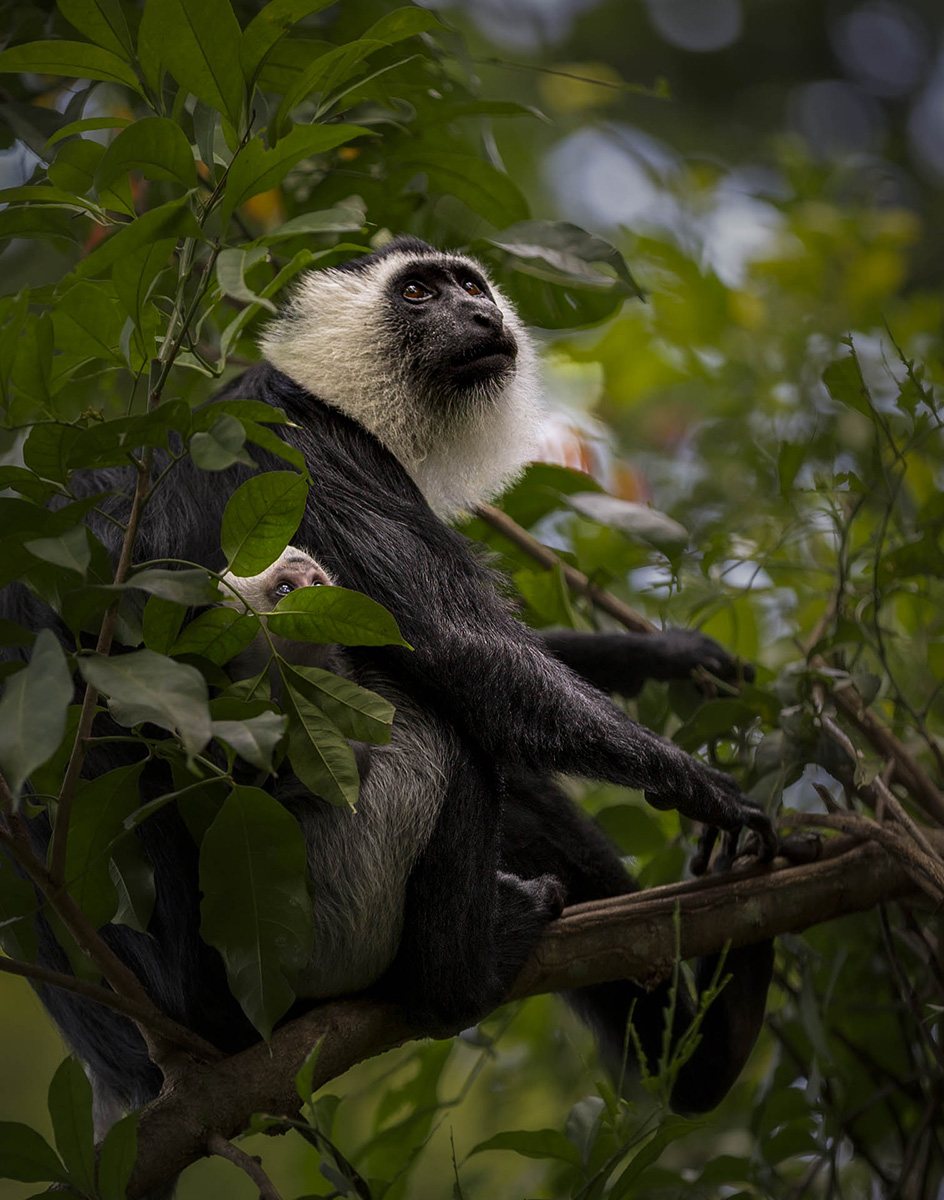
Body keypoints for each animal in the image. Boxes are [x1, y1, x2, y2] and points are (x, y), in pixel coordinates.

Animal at [3, 238, 777, 1128]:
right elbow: (459, 648)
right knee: (457, 740)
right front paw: (705, 789)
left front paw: (678, 658)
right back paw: (484, 979)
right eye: (417, 293)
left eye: (469, 285)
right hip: (320, 913)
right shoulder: (303, 447)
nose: (481, 314)